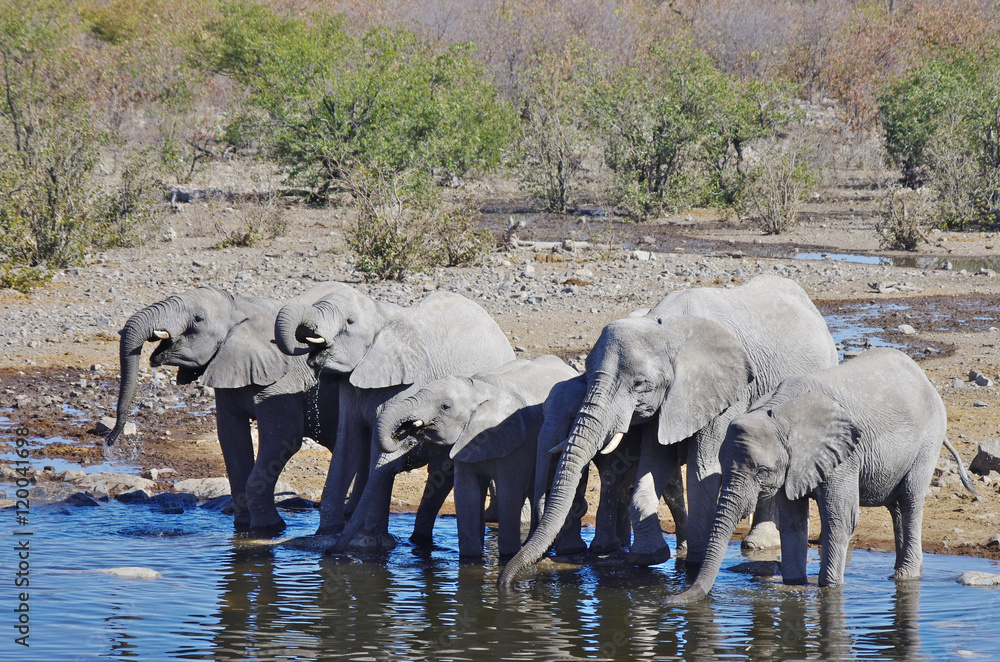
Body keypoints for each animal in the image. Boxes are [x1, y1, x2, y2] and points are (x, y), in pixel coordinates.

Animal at [106, 285, 343, 533]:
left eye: (198, 319)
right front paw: (243, 527)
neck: (241, 307)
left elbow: (284, 436)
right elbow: (231, 437)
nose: (110, 440)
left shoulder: (284, 380)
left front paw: (269, 528)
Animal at [274, 283, 515, 547]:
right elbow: (348, 443)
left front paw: (371, 540)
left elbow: (376, 450)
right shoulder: (352, 388)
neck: (381, 315)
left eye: (350, 322)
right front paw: (326, 534)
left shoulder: (406, 383)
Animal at [341, 355, 578, 558]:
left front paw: (507, 556)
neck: (478, 388)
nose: (407, 430)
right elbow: (467, 495)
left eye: (445, 406)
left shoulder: (516, 441)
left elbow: (509, 494)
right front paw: (471, 560)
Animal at [499, 275, 838, 587]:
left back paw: (757, 544)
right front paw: (649, 556)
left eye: (639, 384)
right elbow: (655, 464)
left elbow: (703, 469)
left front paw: (695, 565)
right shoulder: (663, 405)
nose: (504, 582)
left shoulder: (724, 390)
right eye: (587, 374)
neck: (666, 327)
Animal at [665, 348, 978, 604]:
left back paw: (904, 577)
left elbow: (840, 518)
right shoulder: (793, 466)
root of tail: (923, 378)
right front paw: (794, 585)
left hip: (928, 441)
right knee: (897, 508)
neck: (781, 412)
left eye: (762, 472)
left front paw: (829, 589)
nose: (668, 601)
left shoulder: (845, 455)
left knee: (911, 501)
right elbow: (793, 522)